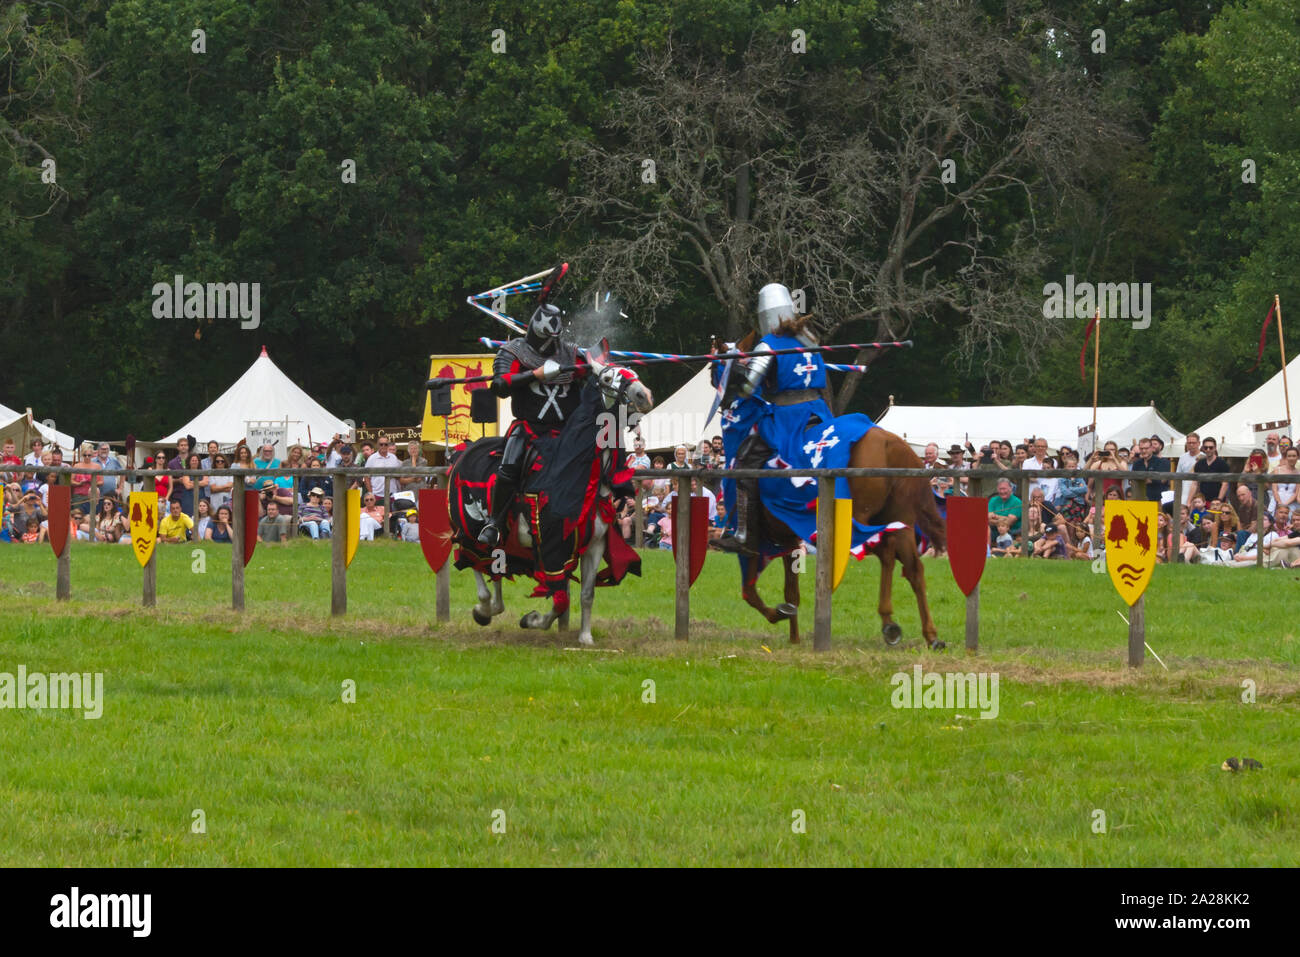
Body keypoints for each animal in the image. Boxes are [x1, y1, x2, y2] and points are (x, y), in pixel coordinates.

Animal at [743, 426, 946, 650]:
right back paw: (926, 634)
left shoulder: (761, 540)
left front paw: (780, 617)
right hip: (900, 519)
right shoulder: (787, 540)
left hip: (856, 521)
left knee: (887, 551)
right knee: (910, 566)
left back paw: (891, 622)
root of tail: (892, 444)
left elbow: (752, 591)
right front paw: (793, 635)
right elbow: (789, 593)